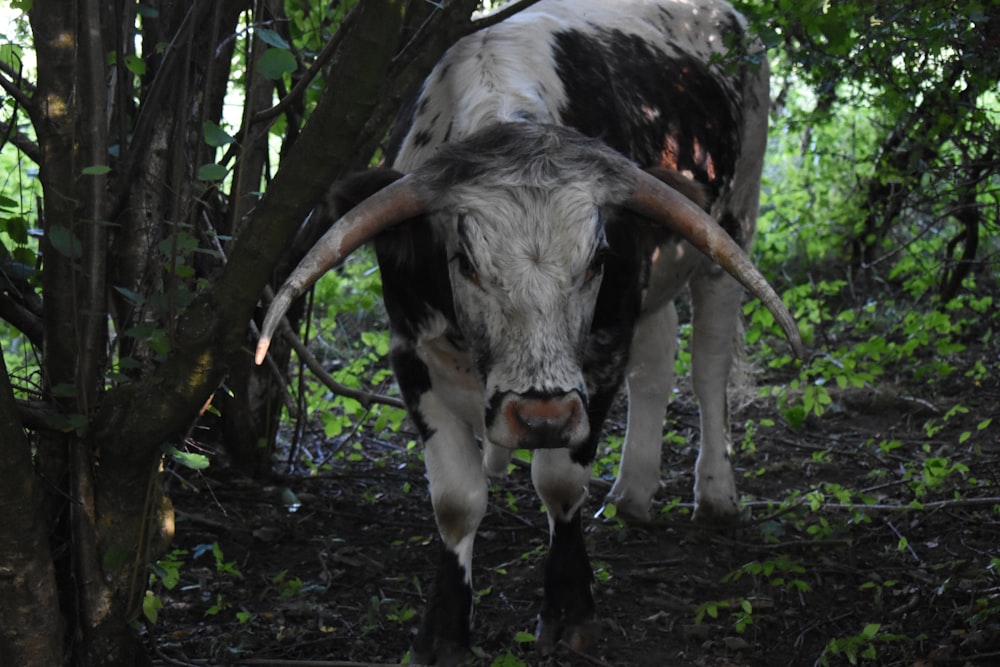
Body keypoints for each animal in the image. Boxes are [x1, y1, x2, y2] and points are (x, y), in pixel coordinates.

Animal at [254, 2, 800, 664]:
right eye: (465, 261)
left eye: (596, 258)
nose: (540, 416)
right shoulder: (412, 352)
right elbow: (457, 501)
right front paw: (443, 631)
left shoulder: (598, 357)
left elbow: (560, 482)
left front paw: (569, 613)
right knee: (656, 361)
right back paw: (632, 492)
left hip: (731, 229)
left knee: (707, 366)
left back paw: (716, 495)